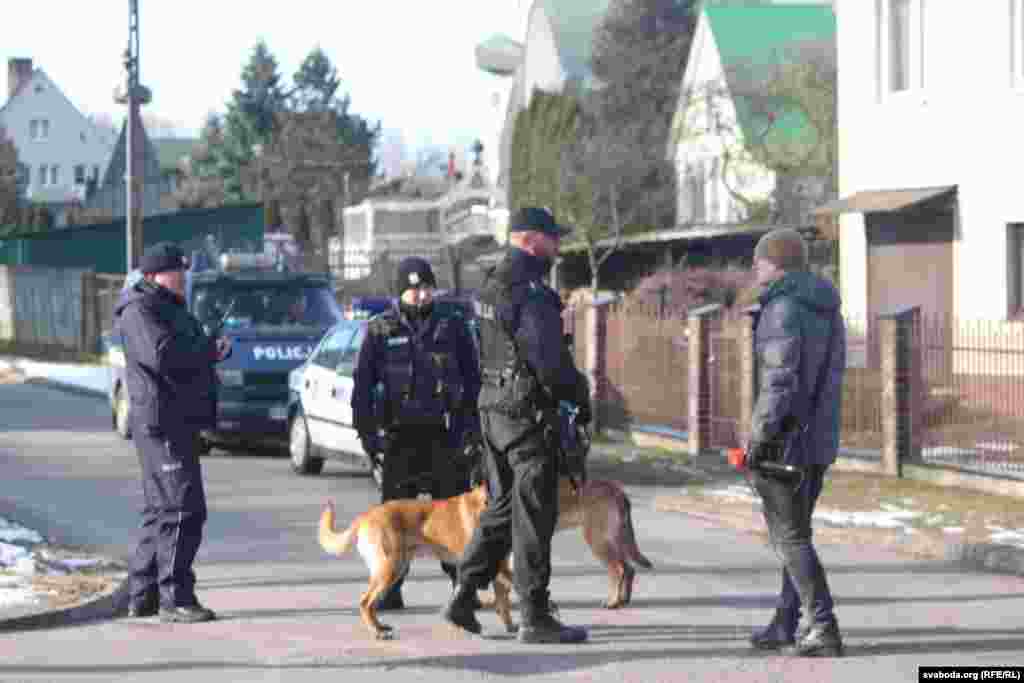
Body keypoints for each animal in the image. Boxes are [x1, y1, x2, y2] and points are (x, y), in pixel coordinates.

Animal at [319, 475, 651, 643]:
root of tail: (366, 516)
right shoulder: (499, 566)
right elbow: (508, 594)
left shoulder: (500, 566)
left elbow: (504, 599)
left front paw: (512, 625)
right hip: (391, 568)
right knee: (365, 602)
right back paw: (378, 630)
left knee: (624, 568)